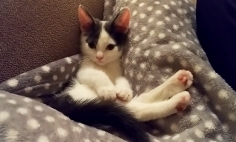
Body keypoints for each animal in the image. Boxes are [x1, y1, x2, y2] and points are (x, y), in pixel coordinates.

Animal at [48, 5, 193, 142]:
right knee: (134, 109)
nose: (99, 57)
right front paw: (108, 90)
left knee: (138, 102)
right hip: (86, 96)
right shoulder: (83, 71)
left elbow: (122, 80)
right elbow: (97, 75)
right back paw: (178, 100)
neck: (105, 66)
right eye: (91, 45)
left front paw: (124, 91)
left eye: (110, 47)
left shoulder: (119, 71)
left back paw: (180, 81)